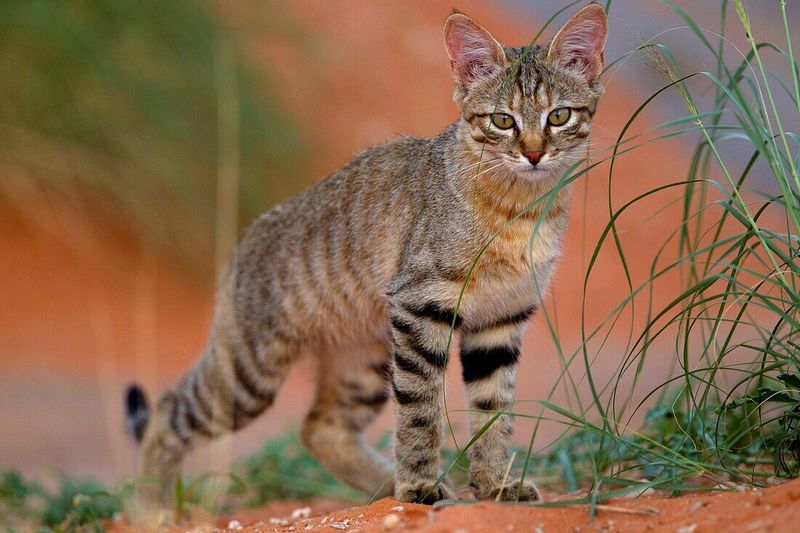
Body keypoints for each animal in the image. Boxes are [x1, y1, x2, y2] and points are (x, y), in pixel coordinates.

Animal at [125, 1, 608, 516]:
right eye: (502, 121)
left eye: (559, 116)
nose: (534, 154)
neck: (522, 209)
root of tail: (245, 240)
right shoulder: (421, 304)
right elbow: (420, 411)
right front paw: (419, 488)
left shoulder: (501, 321)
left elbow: (494, 413)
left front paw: (495, 486)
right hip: (250, 372)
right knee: (169, 407)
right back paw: (150, 506)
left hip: (365, 360)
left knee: (320, 429)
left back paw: (382, 485)